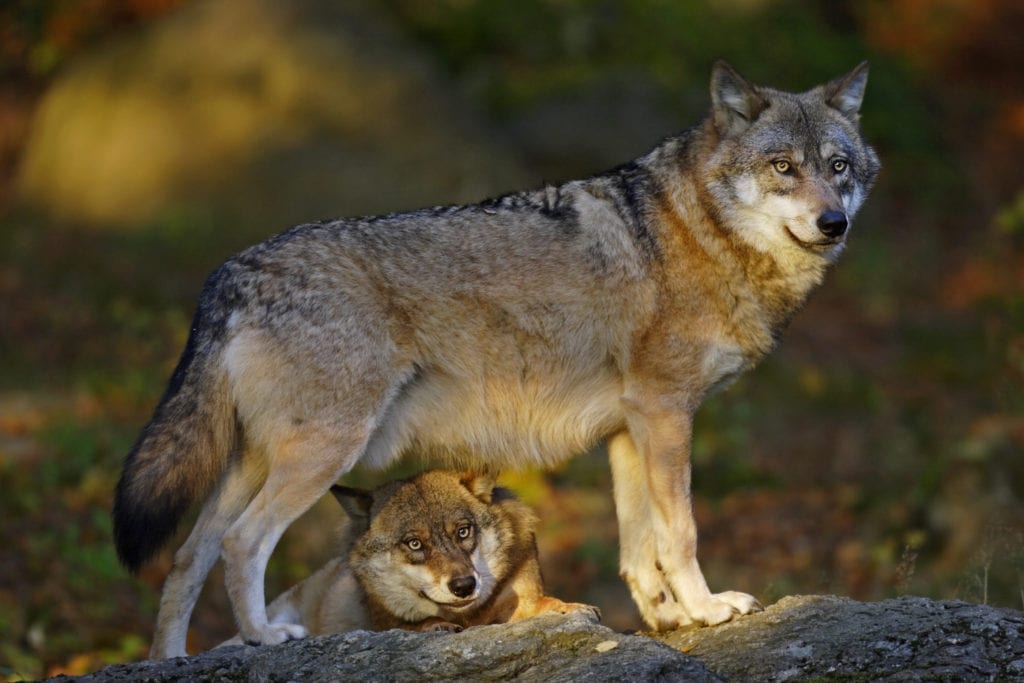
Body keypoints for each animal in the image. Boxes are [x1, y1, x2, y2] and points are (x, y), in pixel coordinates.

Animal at [220, 470, 598, 644]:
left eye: (463, 532)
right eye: (414, 544)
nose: (464, 585)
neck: (468, 617)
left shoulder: (516, 600)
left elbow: (539, 605)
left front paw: (569, 608)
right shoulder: (383, 624)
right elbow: (412, 624)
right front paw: (435, 625)